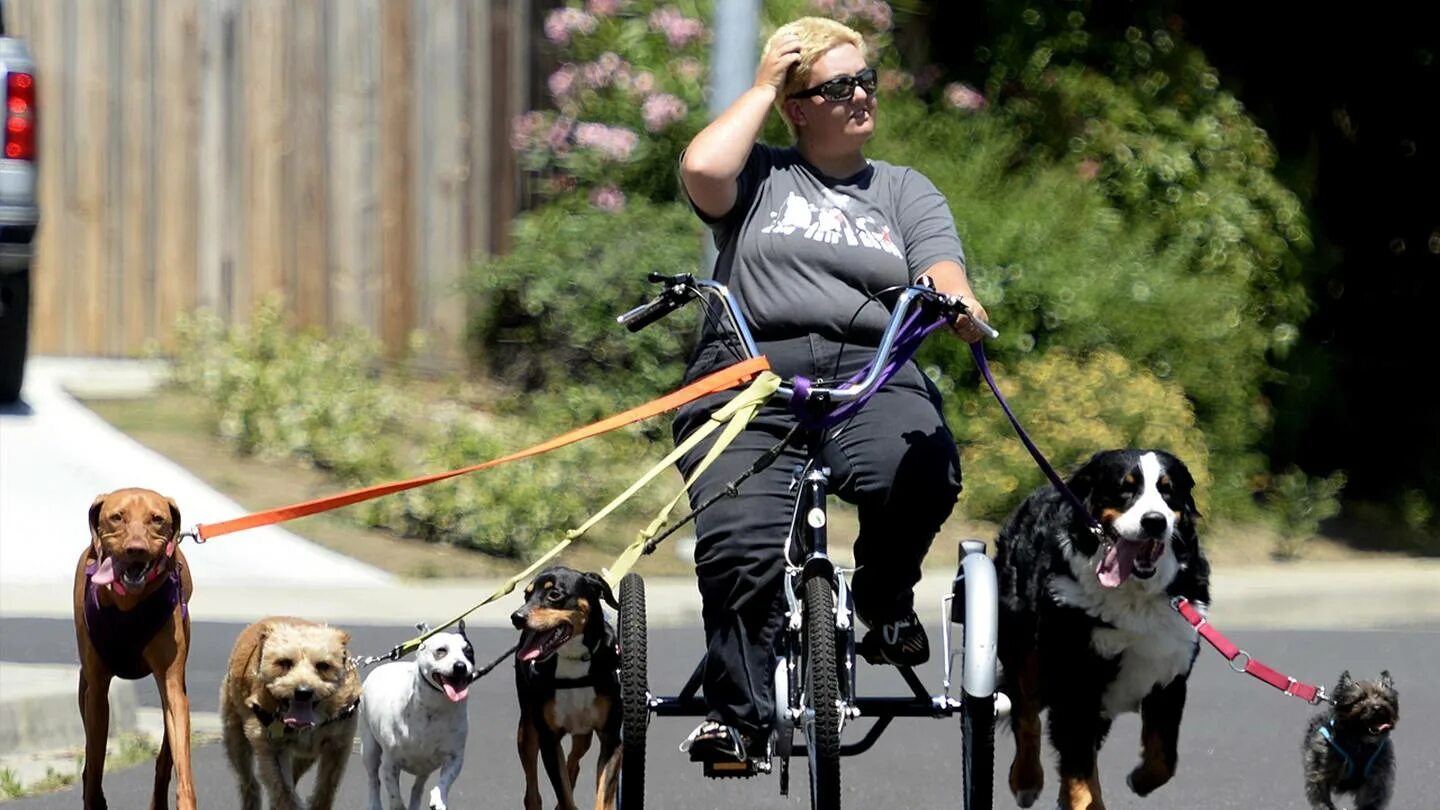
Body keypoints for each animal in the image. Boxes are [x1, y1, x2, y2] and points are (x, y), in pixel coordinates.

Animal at [72, 484, 194, 807]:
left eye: (157, 519)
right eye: (117, 517)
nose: (136, 549)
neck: (128, 603)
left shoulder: (173, 684)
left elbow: (182, 762)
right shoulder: (97, 691)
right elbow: (95, 760)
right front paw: (94, 799)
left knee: (165, 757)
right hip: (84, 686)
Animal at [221, 613, 365, 801]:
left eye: (323, 665)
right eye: (284, 662)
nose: (303, 692)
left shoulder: (338, 745)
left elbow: (325, 790)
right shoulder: (270, 747)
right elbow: (282, 791)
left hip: (308, 754)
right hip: (235, 736)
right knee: (249, 782)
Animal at [360, 619, 478, 801]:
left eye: (469, 652)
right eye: (441, 651)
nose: (460, 666)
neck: (433, 708)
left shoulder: (454, 757)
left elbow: (446, 780)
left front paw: (439, 799)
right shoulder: (390, 763)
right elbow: (395, 798)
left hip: (424, 768)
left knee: (418, 788)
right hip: (369, 749)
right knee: (374, 780)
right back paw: (374, 803)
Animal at [515, 564, 622, 807]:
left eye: (554, 594)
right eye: (526, 595)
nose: (516, 617)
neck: (573, 659)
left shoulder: (611, 739)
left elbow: (604, 795)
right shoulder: (549, 741)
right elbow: (563, 795)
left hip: (583, 733)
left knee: (574, 760)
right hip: (527, 729)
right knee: (532, 790)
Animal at [996, 446, 1209, 807]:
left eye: (1167, 490)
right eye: (1125, 488)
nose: (1155, 521)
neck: (1134, 597)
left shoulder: (1169, 673)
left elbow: (1163, 759)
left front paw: (1141, 780)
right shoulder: (1076, 683)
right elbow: (1078, 768)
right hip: (1024, 651)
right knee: (1025, 714)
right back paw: (1026, 780)